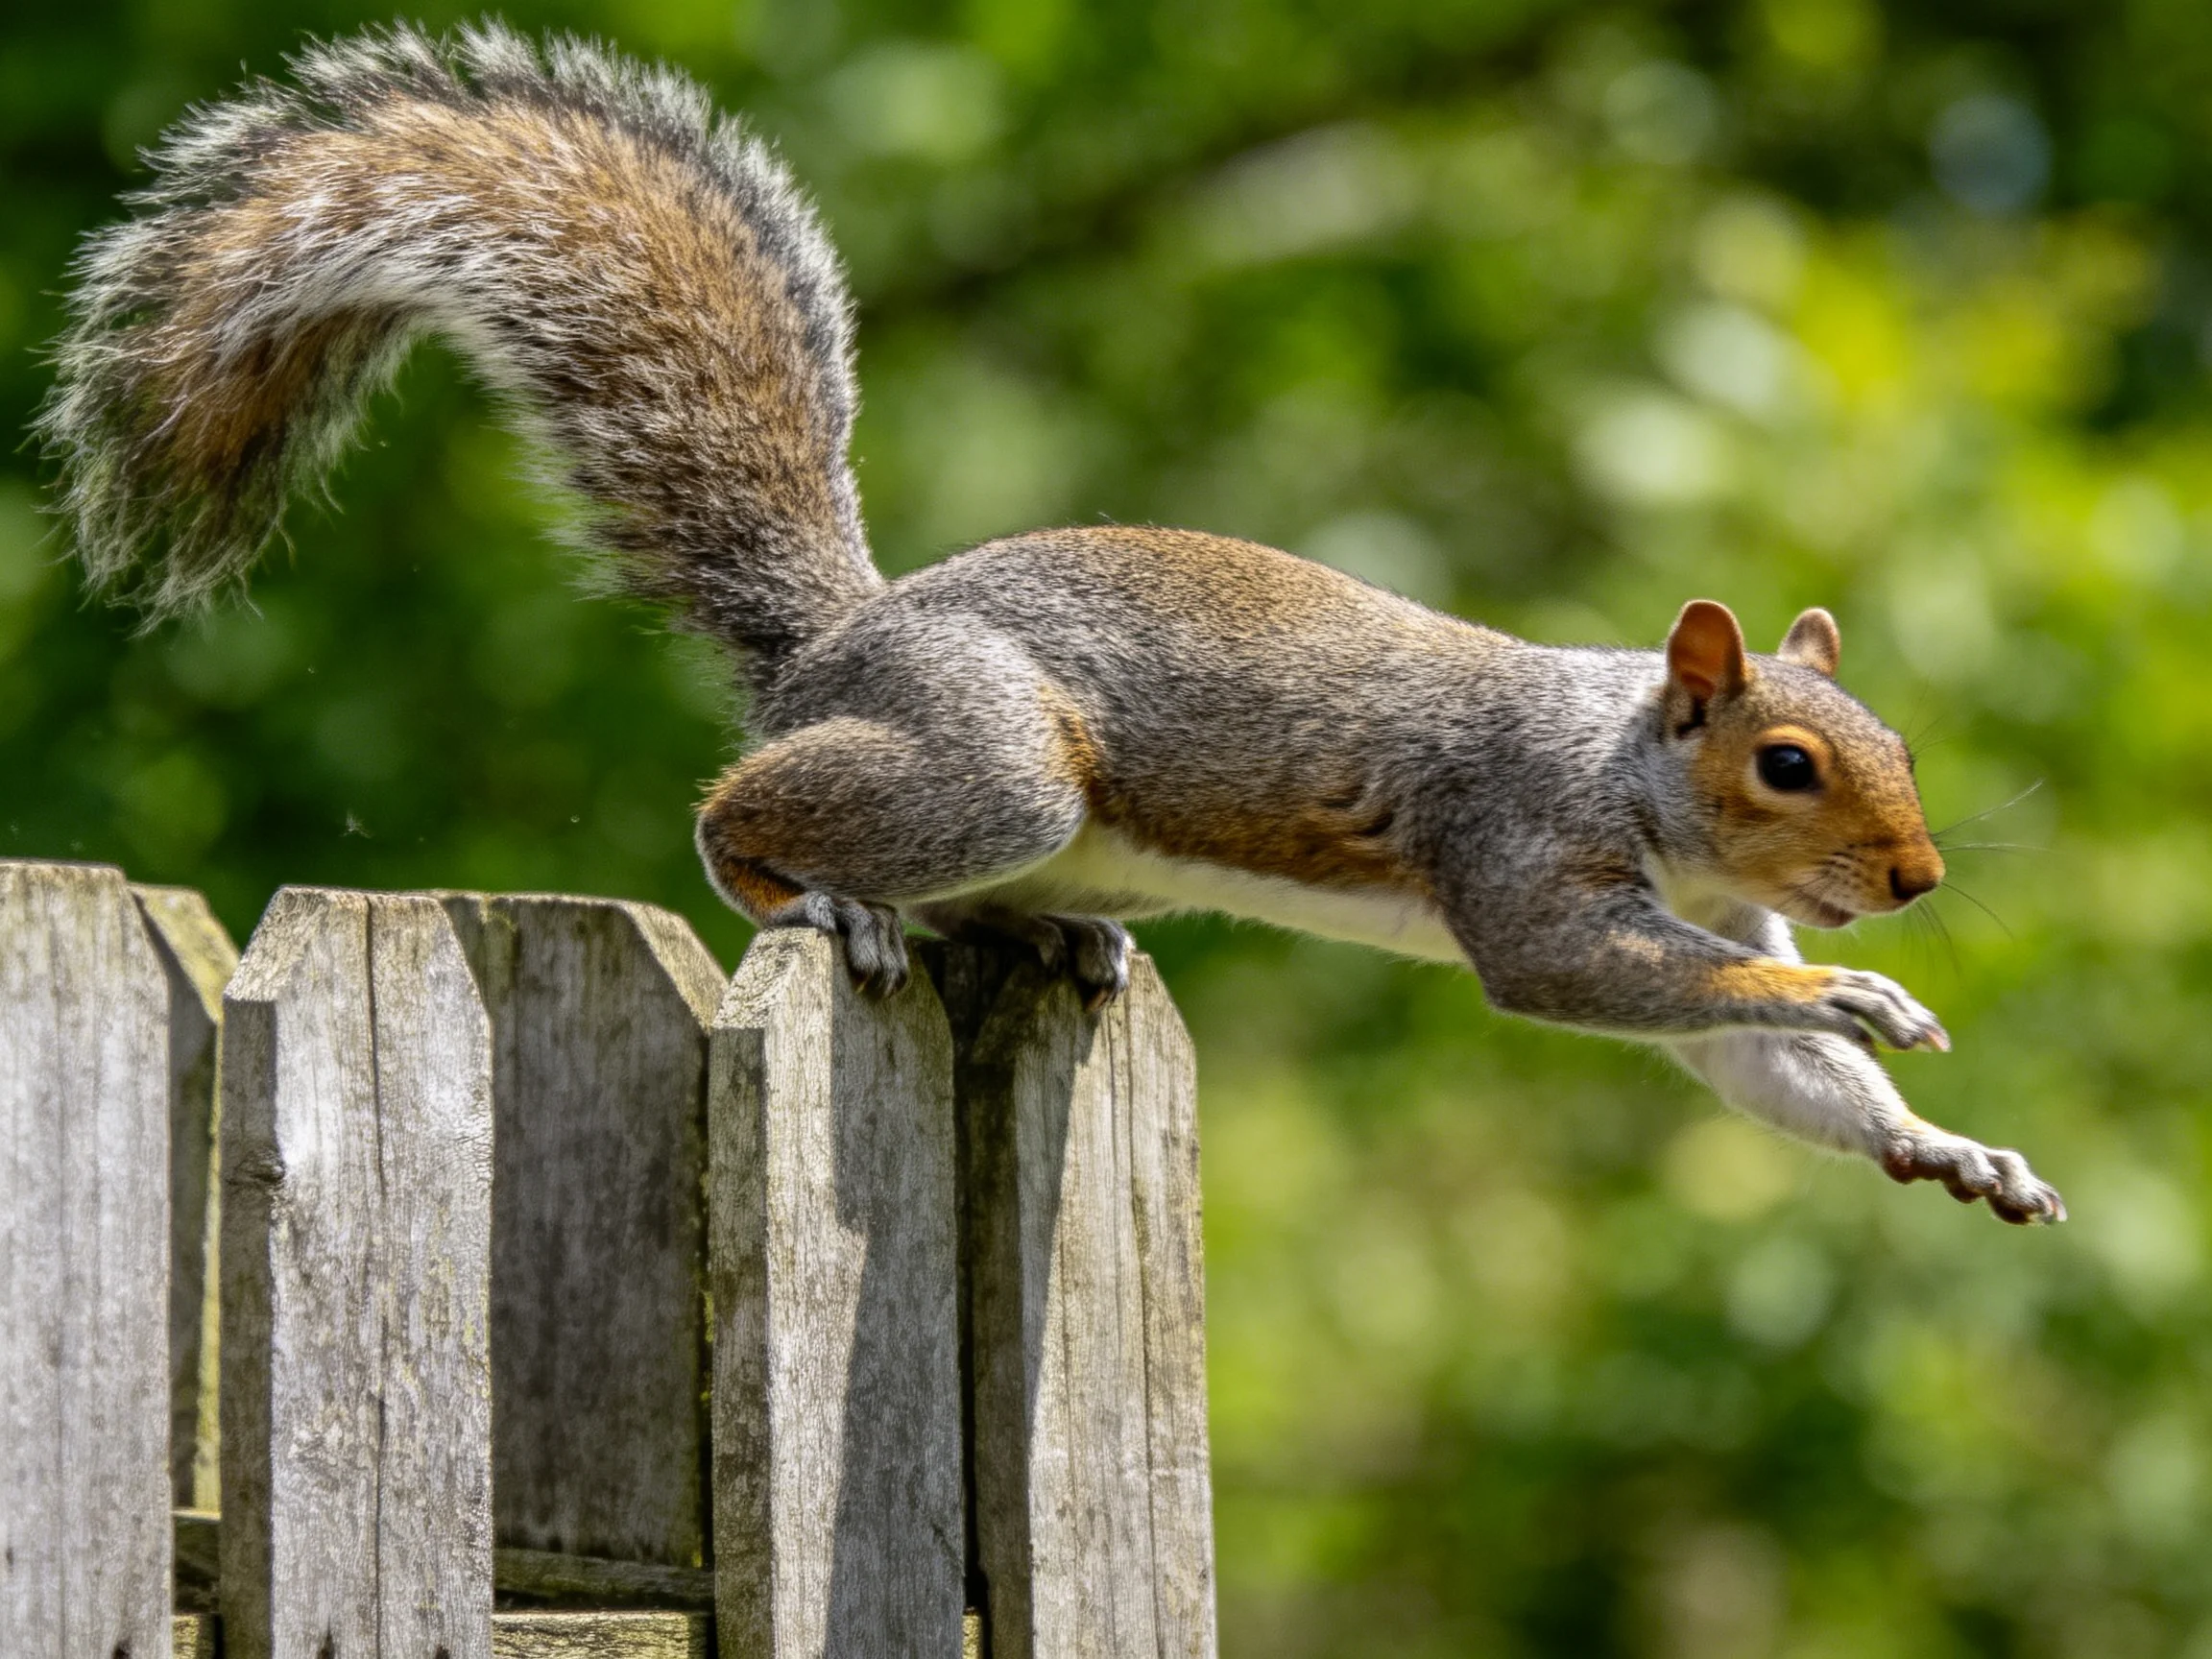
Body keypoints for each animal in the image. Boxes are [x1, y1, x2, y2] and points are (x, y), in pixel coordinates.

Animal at [35, 23, 2062, 1225]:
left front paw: (1939, 1142)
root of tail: (838, 641)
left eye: (1892, 741)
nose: (1910, 882)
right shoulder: (1516, 844)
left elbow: (1746, 1055)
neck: (1628, 770)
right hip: (983, 760)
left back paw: (1047, 938)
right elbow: (1610, 976)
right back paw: (811, 893)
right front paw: (1860, 997)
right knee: (739, 813)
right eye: (1784, 760)